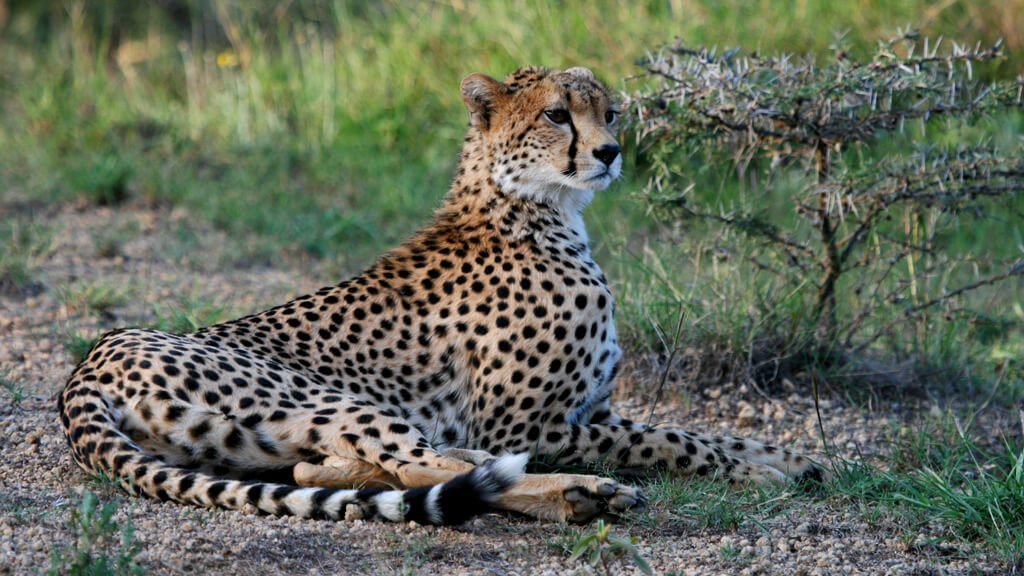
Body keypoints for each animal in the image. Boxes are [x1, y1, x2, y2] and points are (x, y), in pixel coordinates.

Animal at [59, 66, 824, 526]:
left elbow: (698, 429)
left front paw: (792, 459)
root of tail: (88, 363)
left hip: (248, 442)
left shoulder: (591, 409)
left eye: (609, 113)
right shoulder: (526, 427)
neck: (534, 210)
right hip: (324, 395)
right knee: (425, 463)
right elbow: (671, 440)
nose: (610, 152)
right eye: (557, 115)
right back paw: (583, 490)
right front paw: (756, 473)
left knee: (343, 466)